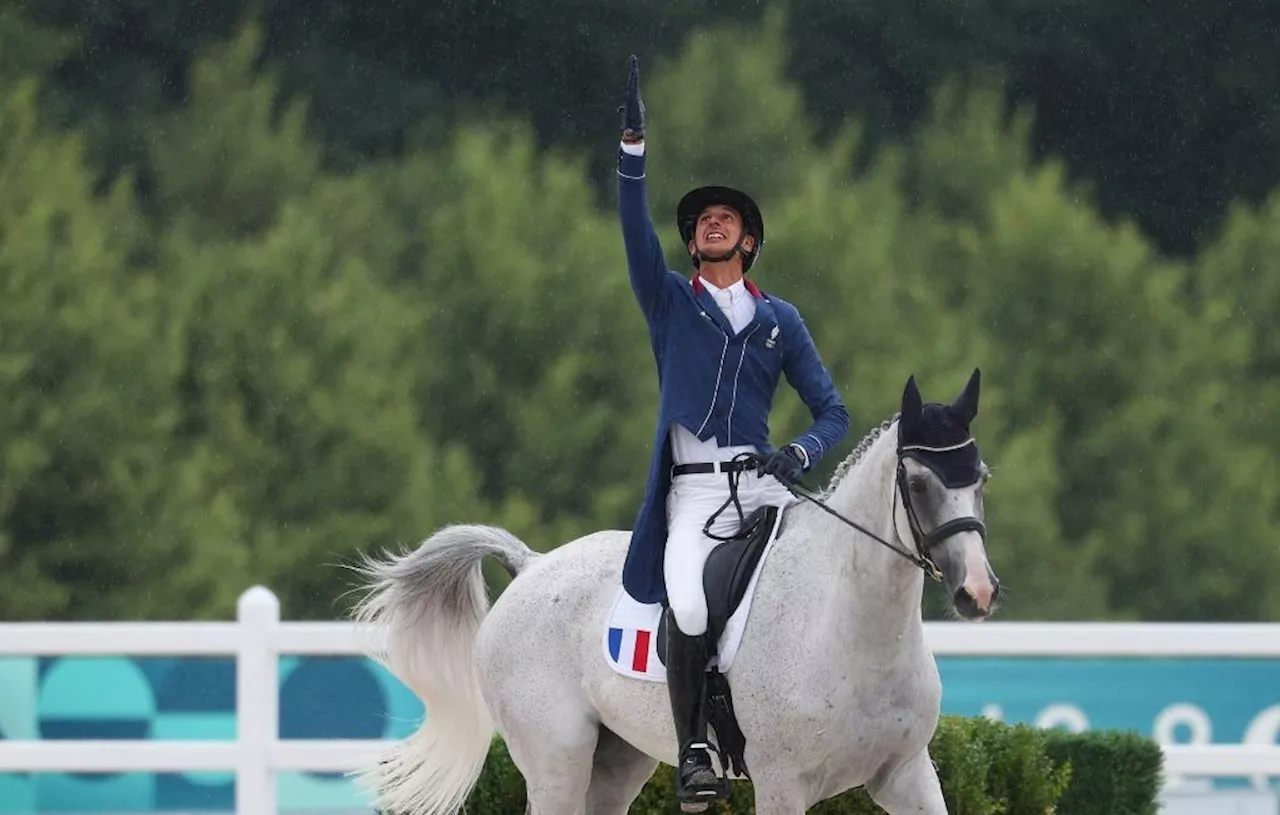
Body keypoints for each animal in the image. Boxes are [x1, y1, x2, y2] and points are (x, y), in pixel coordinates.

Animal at [350, 371, 998, 813]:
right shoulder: (783, 784)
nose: (978, 592)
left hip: (616, 763)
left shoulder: (906, 774)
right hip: (557, 759)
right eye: (918, 482)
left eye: (980, 477)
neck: (854, 625)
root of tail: (531, 566)